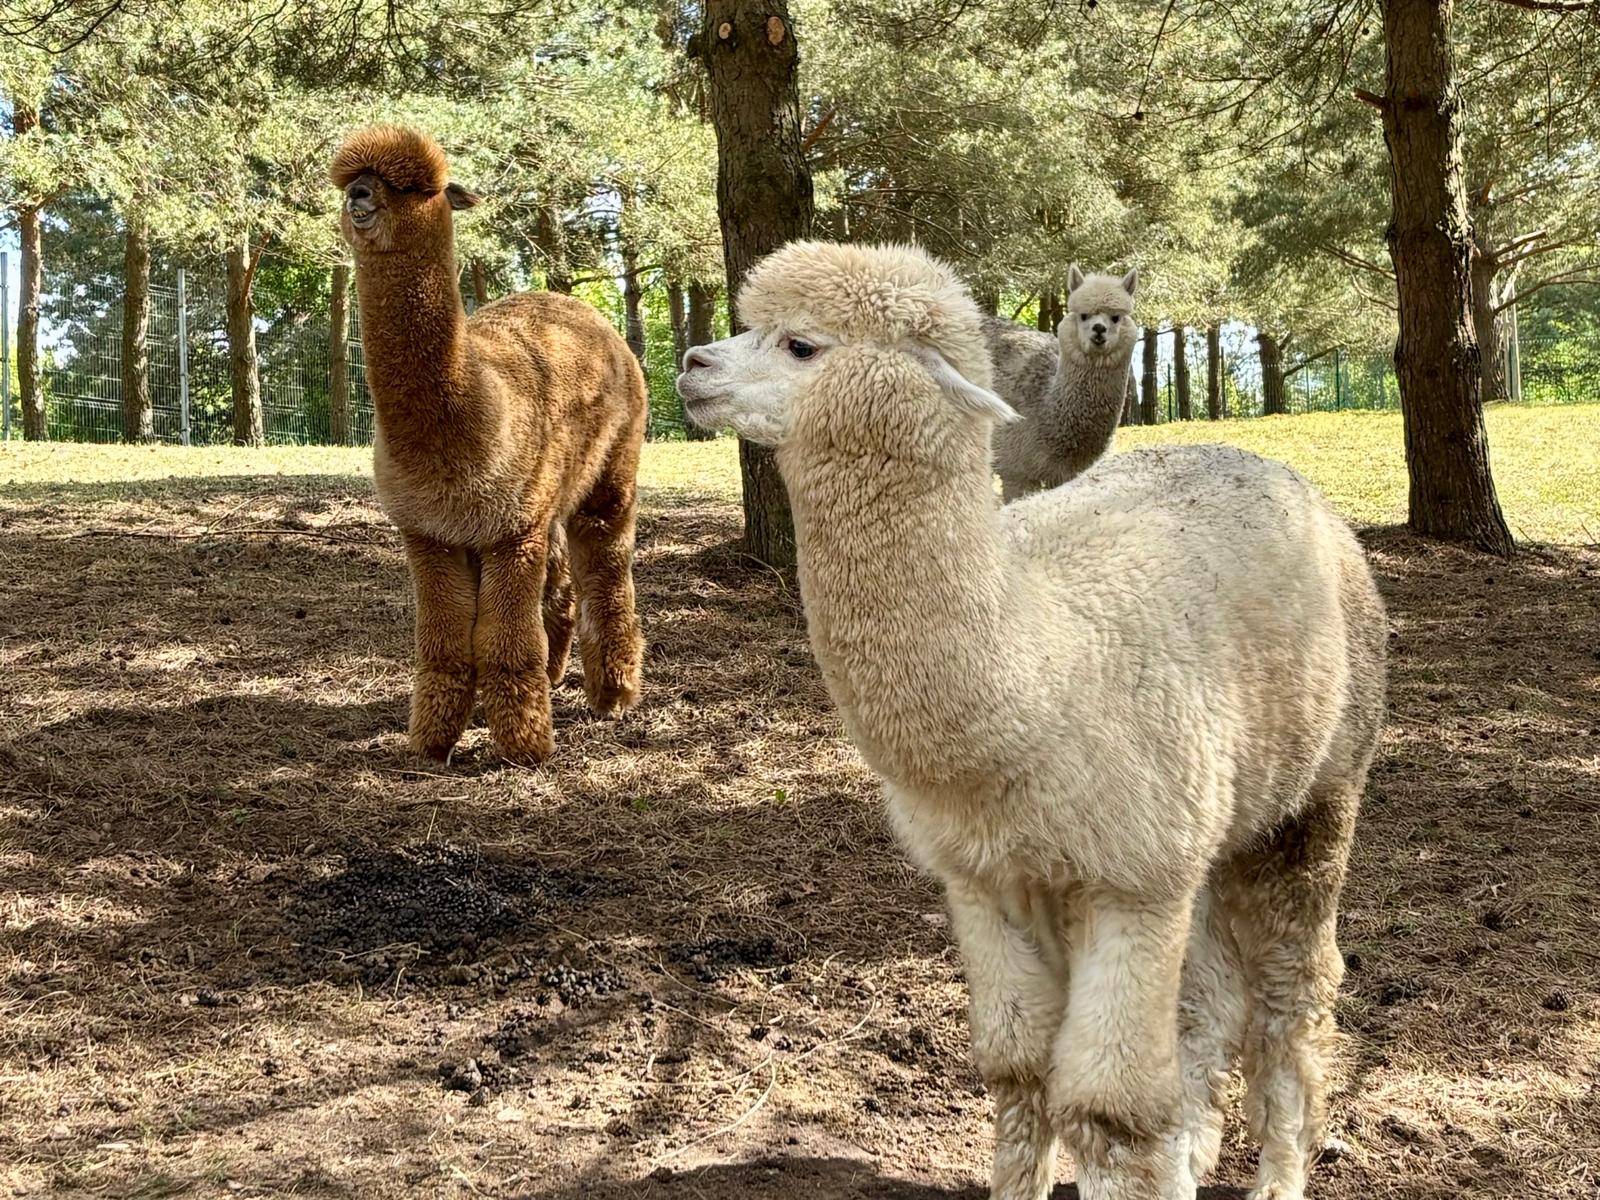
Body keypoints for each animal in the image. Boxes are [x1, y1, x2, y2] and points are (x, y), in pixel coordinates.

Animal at [333, 125, 646, 765]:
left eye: (415, 187)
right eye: (352, 177)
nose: (358, 195)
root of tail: (578, 308)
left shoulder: (510, 529)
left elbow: (503, 639)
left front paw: (525, 746)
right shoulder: (430, 531)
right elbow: (446, 639)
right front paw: (432, 739)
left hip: (609, 475)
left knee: (605, 571)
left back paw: (613, 694)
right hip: (542, 501)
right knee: (561, 588)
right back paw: (553, 677)